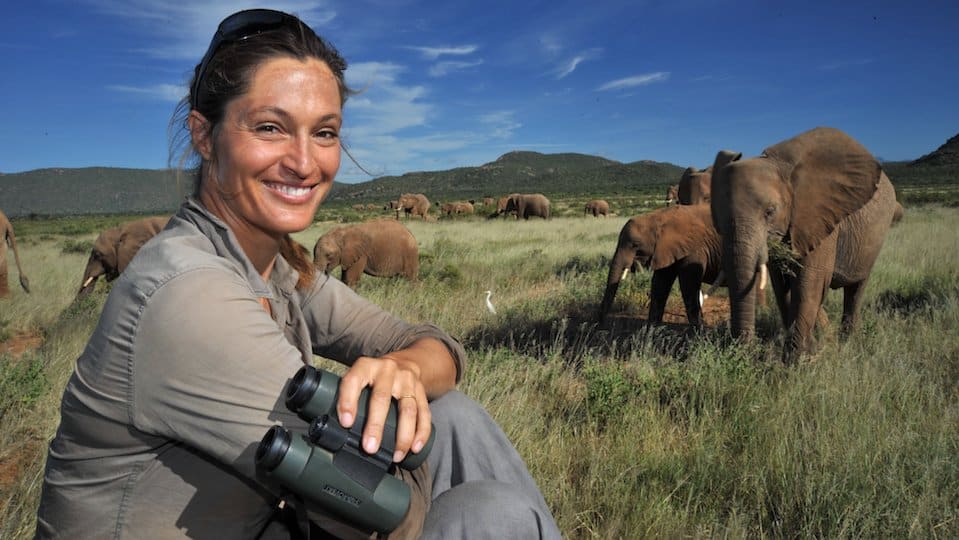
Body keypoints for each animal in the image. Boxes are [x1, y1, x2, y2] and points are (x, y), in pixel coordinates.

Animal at [710, 127, 899, 361]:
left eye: (770, 212)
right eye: (718, 217)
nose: (748, 352)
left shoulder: (820, 218)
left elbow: (808, 283)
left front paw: (796, 362)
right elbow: (782, 286)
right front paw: (808, 351)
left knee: (856, 288)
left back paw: (848, 341)